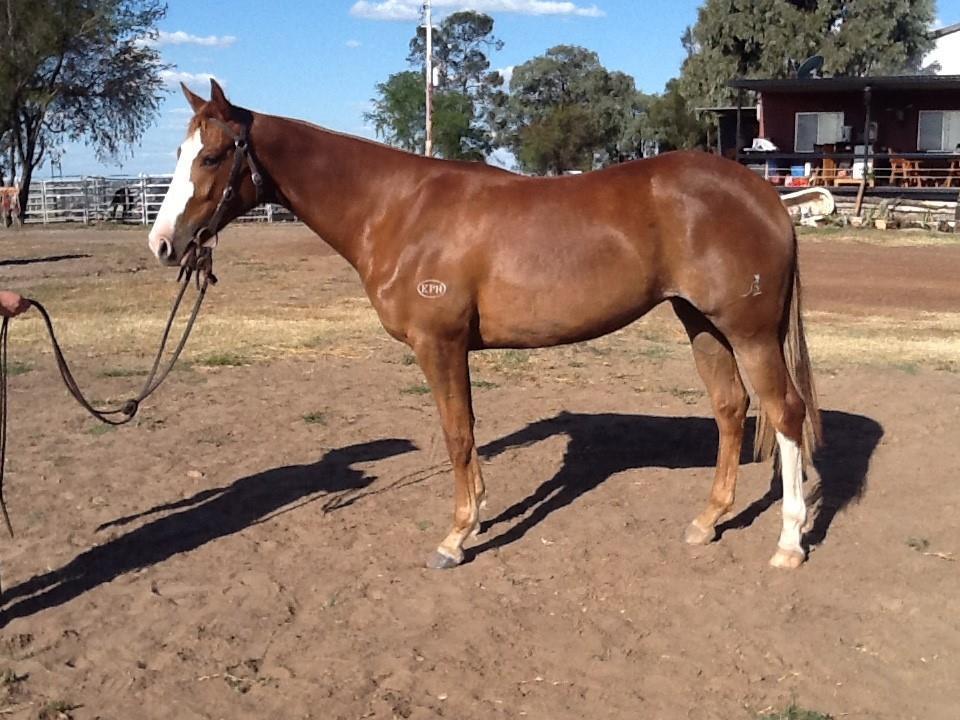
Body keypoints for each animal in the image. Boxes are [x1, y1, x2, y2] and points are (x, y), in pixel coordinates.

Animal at [148, 80, 822, 571]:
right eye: (178, 154)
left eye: (213, 156)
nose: (163, 244)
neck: (398, 208)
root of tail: (768, 198)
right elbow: (467, 432)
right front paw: (477, 515)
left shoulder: (439, 346)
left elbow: (457, 434)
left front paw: (456, 537)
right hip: (701, 323)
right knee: (732, 409)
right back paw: (708, 522)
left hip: (749, 332)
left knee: (784, 413)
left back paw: (789, 544)